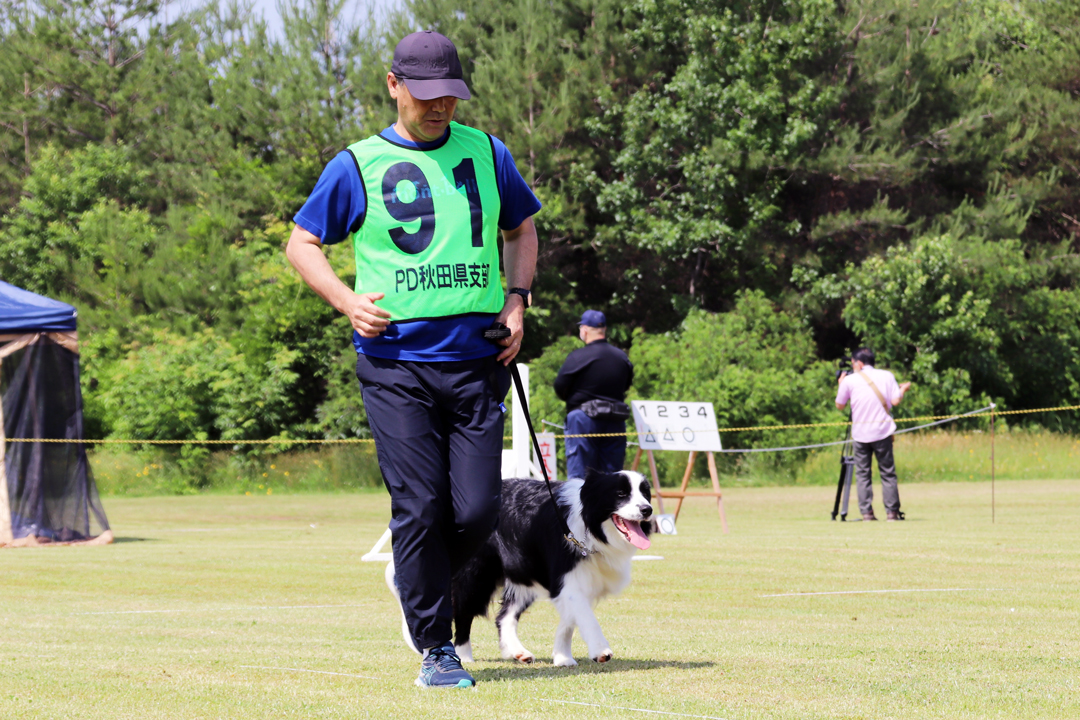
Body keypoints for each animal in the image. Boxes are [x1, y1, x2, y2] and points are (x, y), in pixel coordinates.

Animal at [390, 470, 652, 669]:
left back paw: (517, 652)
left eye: (645, 493)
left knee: (504, 616)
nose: (648, 510)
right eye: (621, 494)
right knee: (463, 611)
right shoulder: (565, 576)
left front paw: (562, 657)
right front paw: (600, 649)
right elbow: (586, 617)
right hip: (476, 573)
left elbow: (569, 620)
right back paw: (463, 655)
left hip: (522, 573)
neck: (589, 526)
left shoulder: (573, 580)